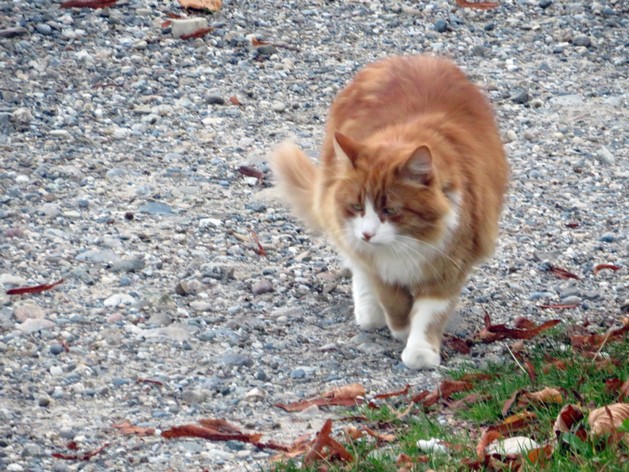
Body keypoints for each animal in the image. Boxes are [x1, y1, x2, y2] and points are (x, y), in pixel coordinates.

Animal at [270, 55, 508, 369]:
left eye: (390, 210)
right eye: (357, 207)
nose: (368, 234)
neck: (408, 241)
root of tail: (414, 57)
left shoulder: (450, 263)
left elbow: (430, 314)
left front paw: (420, 350)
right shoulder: (378, 266)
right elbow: (392, 301)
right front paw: (401, 328)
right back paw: (369, 311)